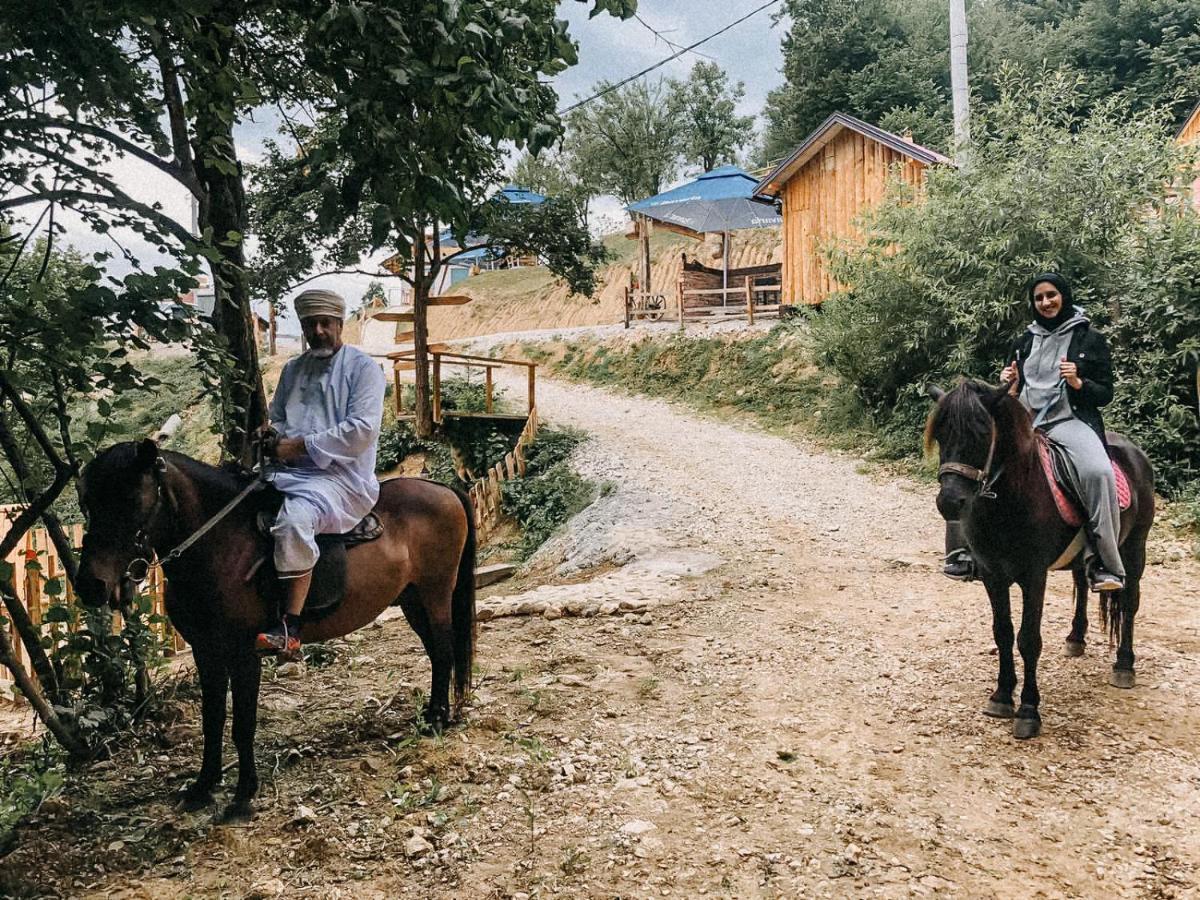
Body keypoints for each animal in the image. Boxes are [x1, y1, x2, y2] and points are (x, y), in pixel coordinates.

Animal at [71, 441, 477, 820]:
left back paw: (437, 720)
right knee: (438, 654)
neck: (220, 545)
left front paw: (243, 795)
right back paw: (434, 713)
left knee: (444, 650)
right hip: (412, 600)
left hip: (436, 593)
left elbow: (243, 724)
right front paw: (203, 787)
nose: (90, 585)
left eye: (130, 499)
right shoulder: (206, 652)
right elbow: (212, 720)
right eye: (87, 504)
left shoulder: (243, 653)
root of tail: (443, 489)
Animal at [926, 381, 1152, 739]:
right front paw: (1002, 696)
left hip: (1134, 548)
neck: (1012, 498)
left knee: (1129, 603)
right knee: (1081, 584)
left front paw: (1029, 710)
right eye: (940, 434)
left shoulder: (1034, 576)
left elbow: (1028, 639)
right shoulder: (992, 574)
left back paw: (1124, 665)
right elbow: (1002, 632)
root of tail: (1134, 451)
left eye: (982, 432)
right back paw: (1075, 639)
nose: (949, 501)